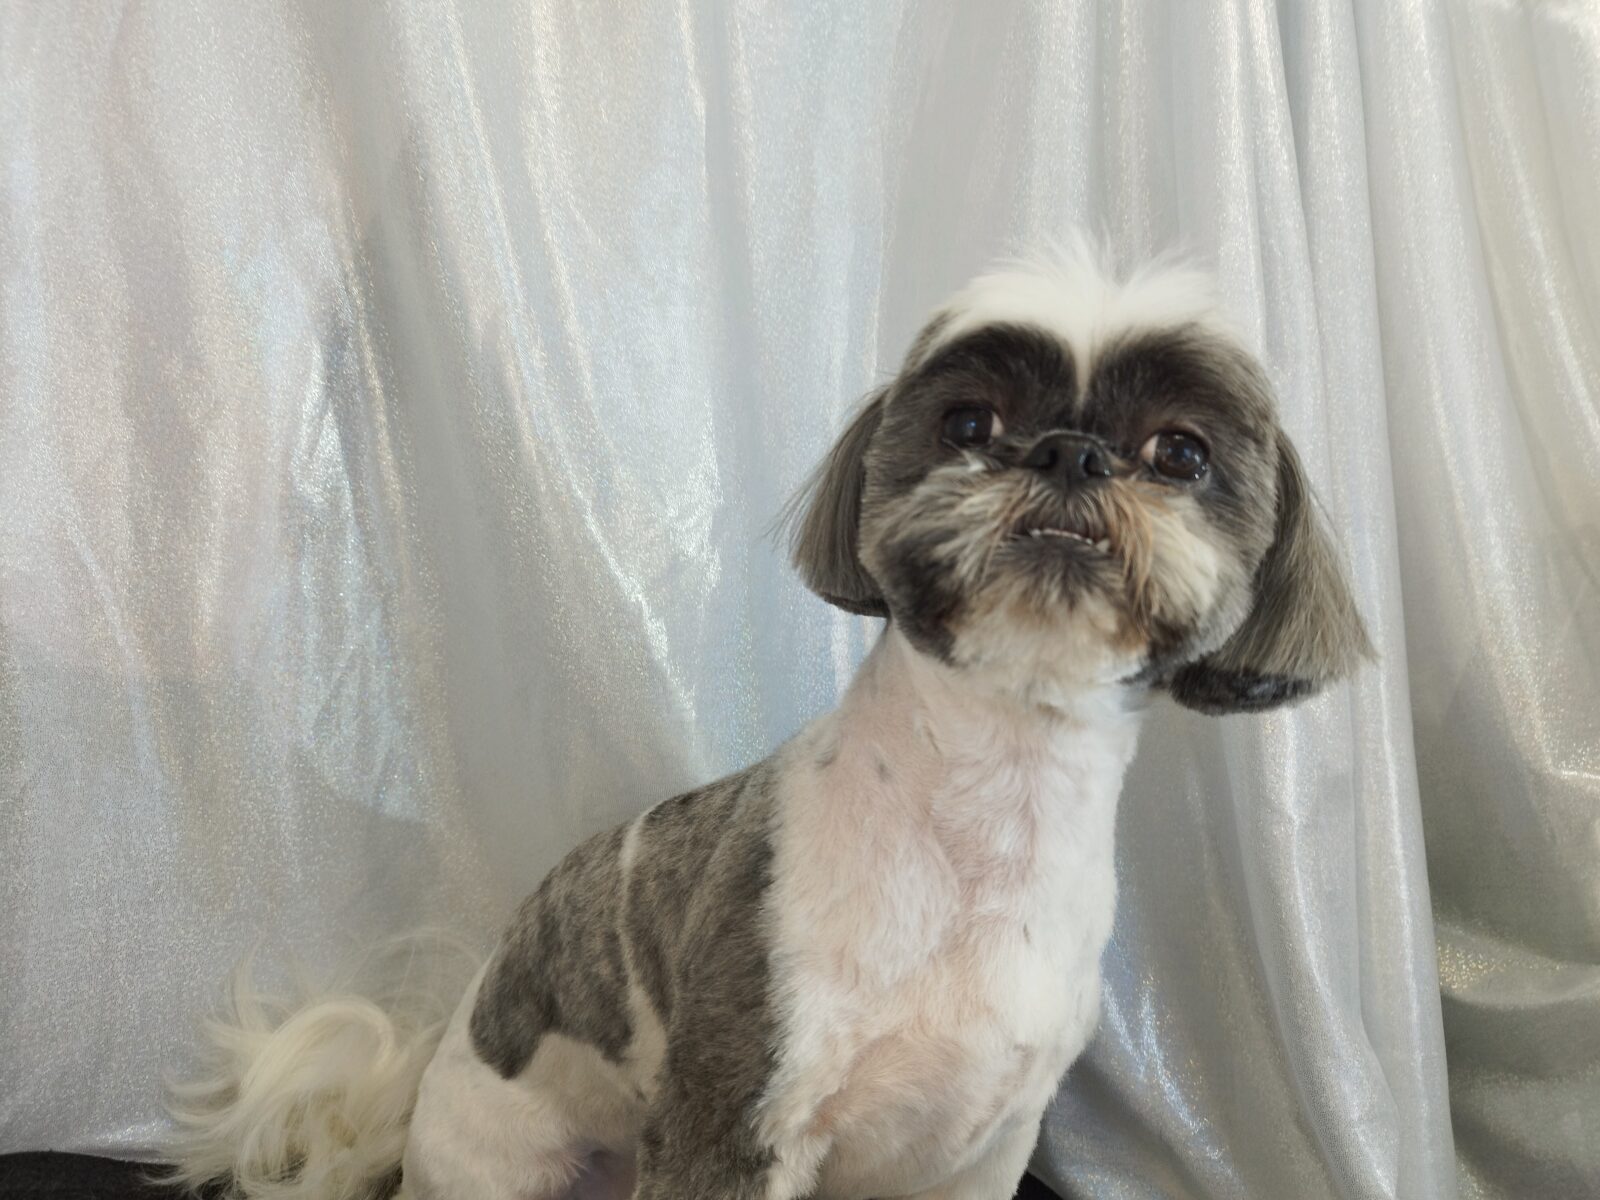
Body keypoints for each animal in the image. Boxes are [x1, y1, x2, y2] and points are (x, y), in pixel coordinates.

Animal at [167, 241, 1370, 1200]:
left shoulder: (980, 1145)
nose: (1068, 452)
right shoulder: (736, 1107)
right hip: (503, 1165)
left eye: (1182, 451)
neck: (987, 807)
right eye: (968, 422)